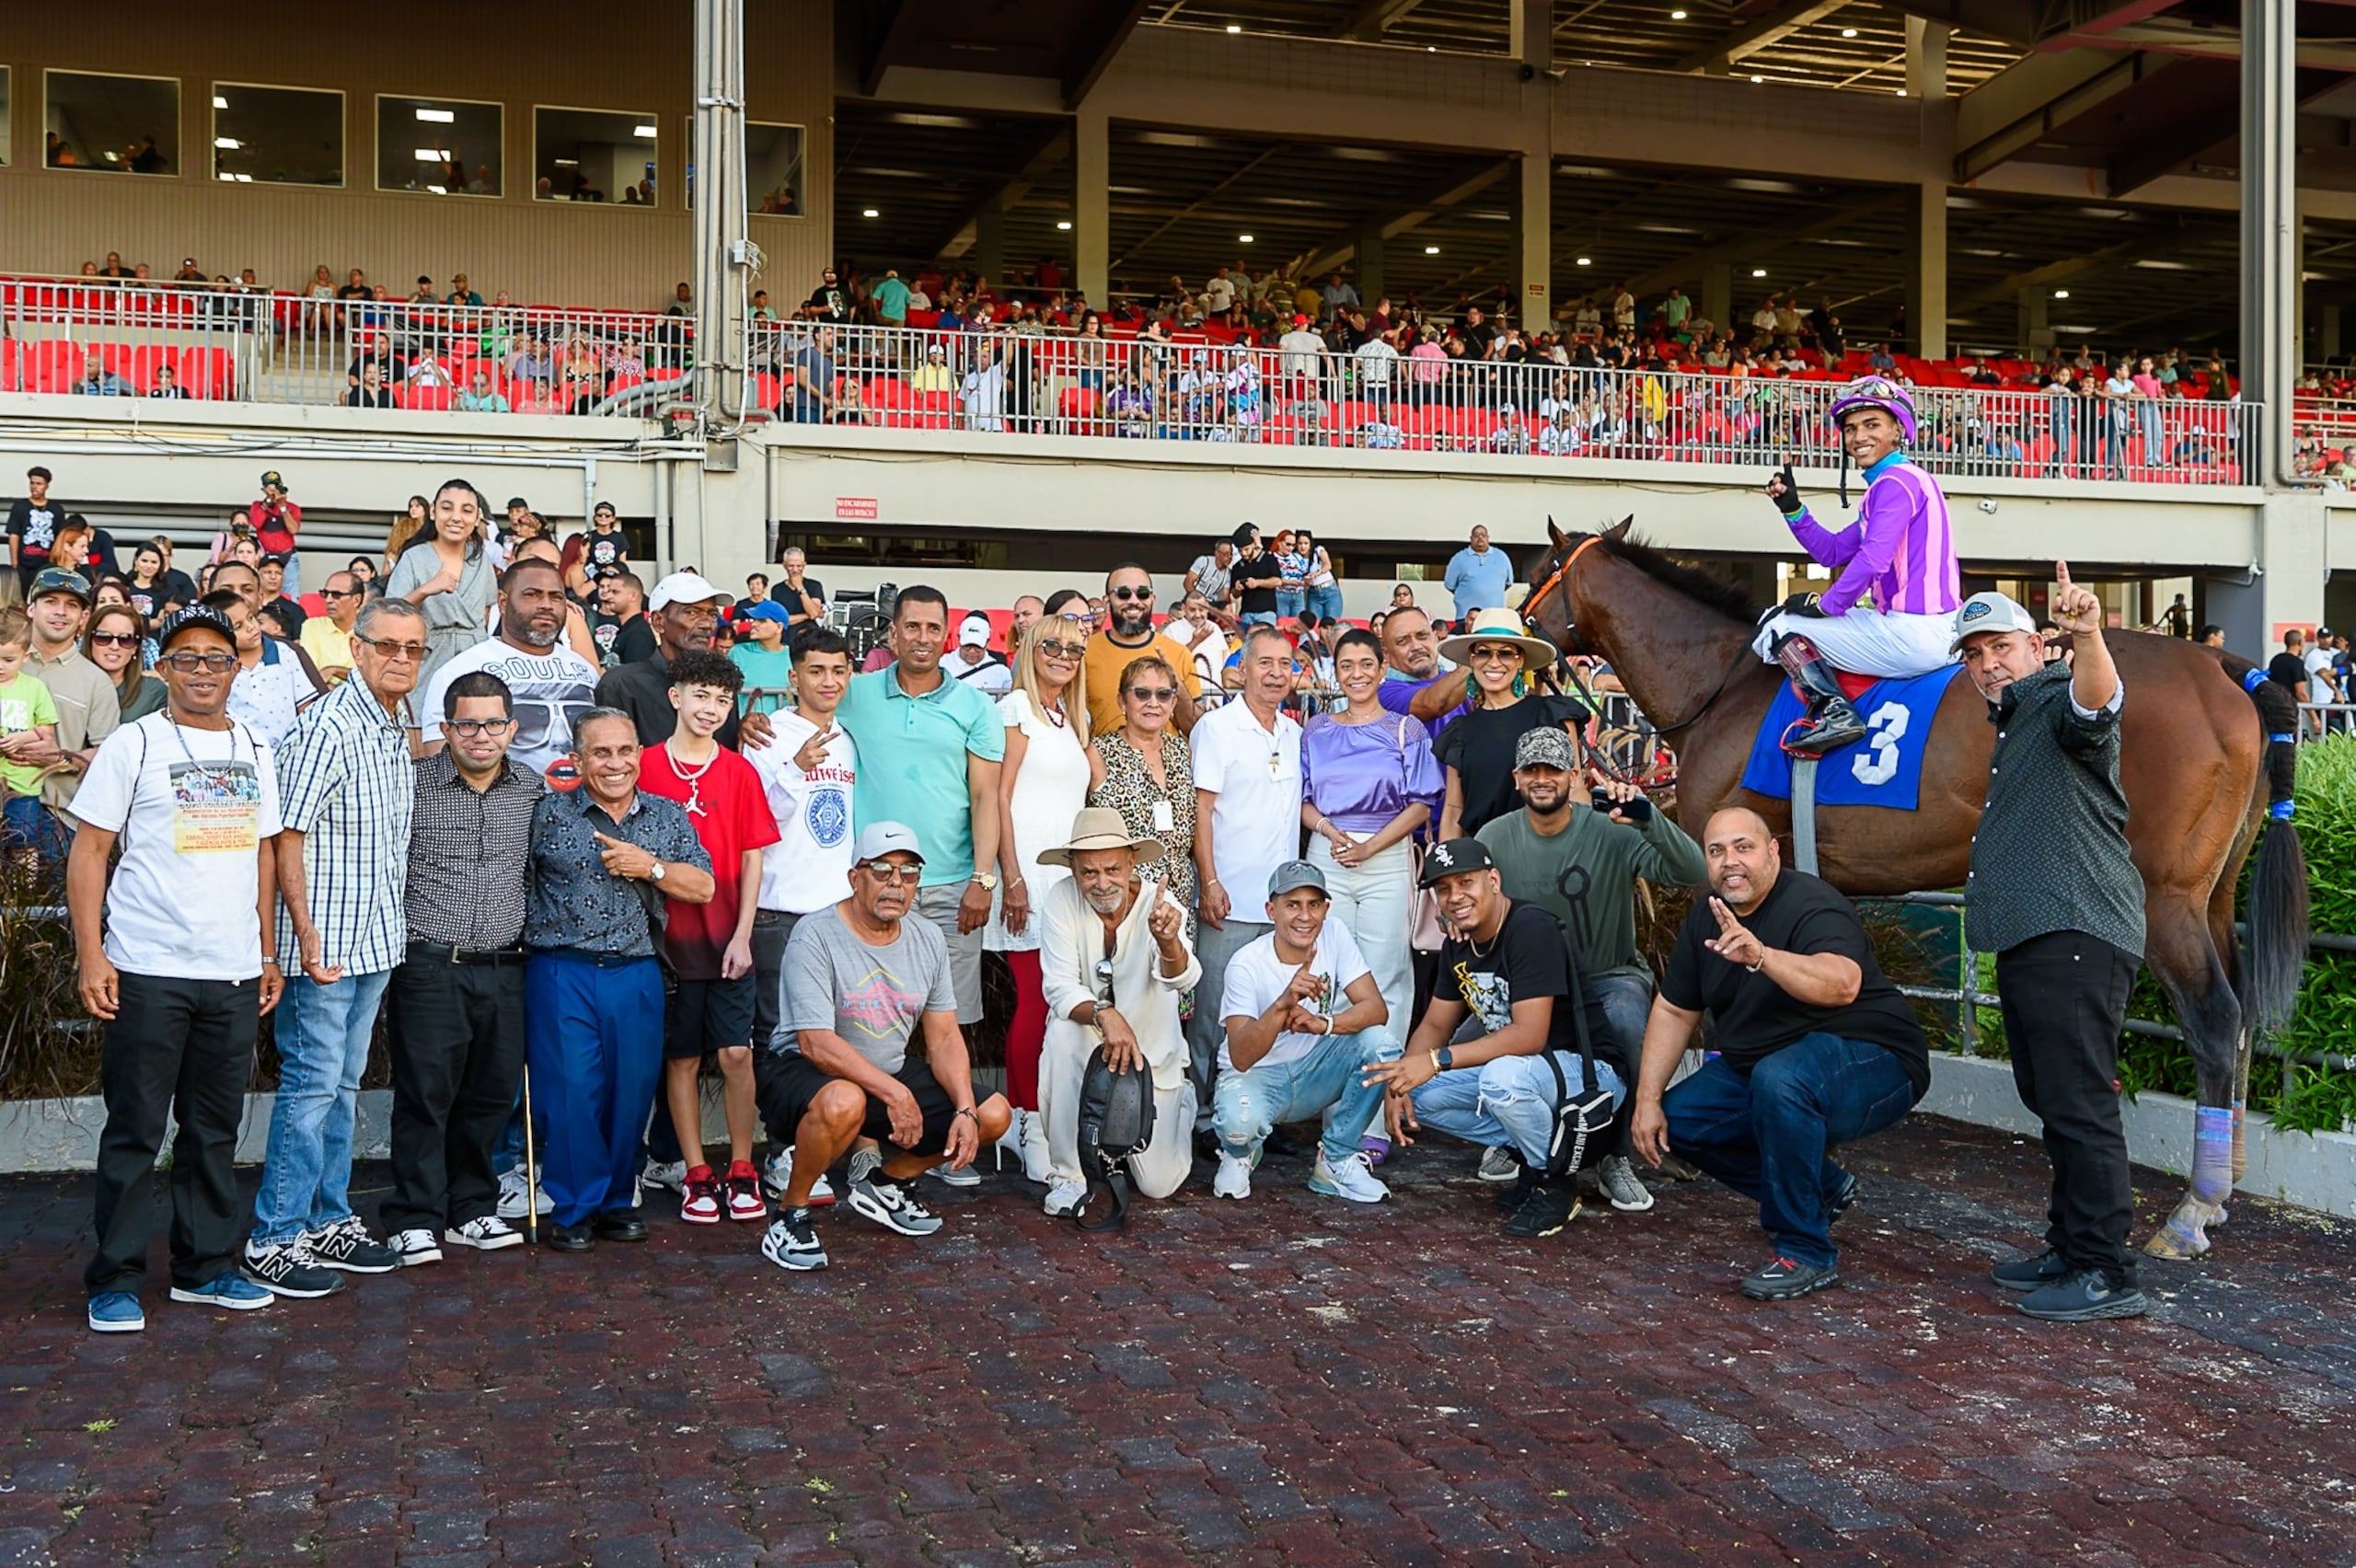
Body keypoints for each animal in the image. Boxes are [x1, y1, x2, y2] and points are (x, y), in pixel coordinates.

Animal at [1517, 515, 2308, 1262]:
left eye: (1535, 569)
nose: (1513, 634)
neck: (1722, 687)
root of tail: (2223, 665)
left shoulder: (1733, 862)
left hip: (2165, 896)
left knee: (2214, 1018)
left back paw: (2194, 1209)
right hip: (2214, 895)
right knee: (2241, 1017)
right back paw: (2228, 1178)